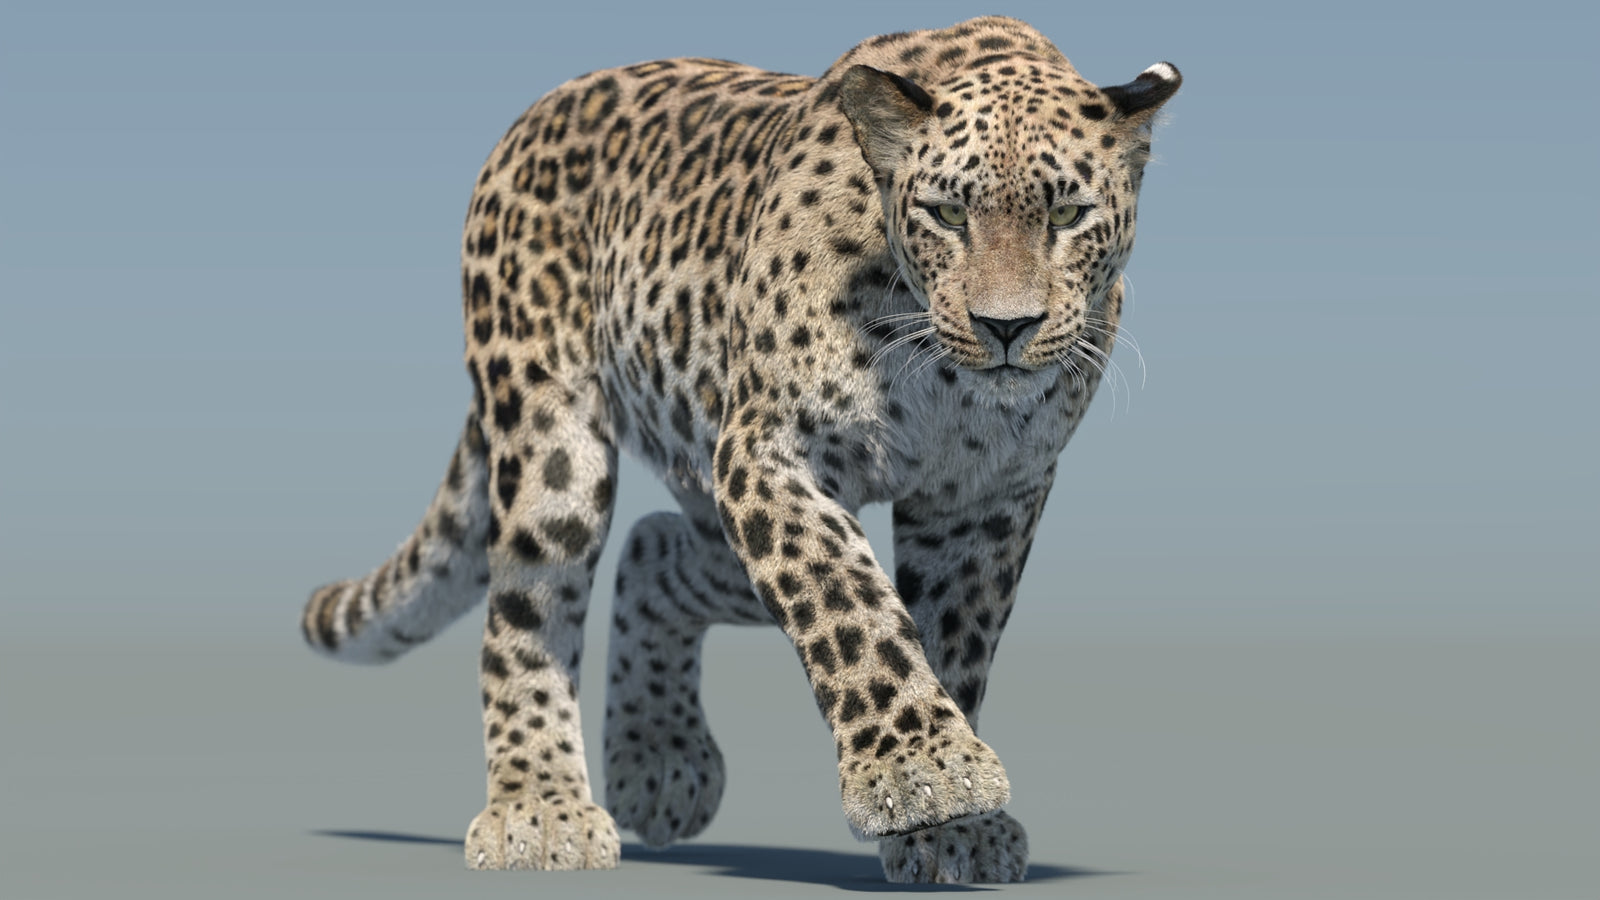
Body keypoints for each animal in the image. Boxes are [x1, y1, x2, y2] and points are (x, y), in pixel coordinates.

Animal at [300, 15, 1179, 884]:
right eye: (947, 215)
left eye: (1067, 216)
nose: (1006, 327)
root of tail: (534, 115)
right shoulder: (766, 452)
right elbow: (847, 602)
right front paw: (919, 772)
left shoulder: (985, 496)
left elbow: (955, 638)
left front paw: (954, 826)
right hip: (554, 440)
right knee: (528, 608)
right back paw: (540, 810)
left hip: (706, 492)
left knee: (654, 546)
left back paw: (659, 765)